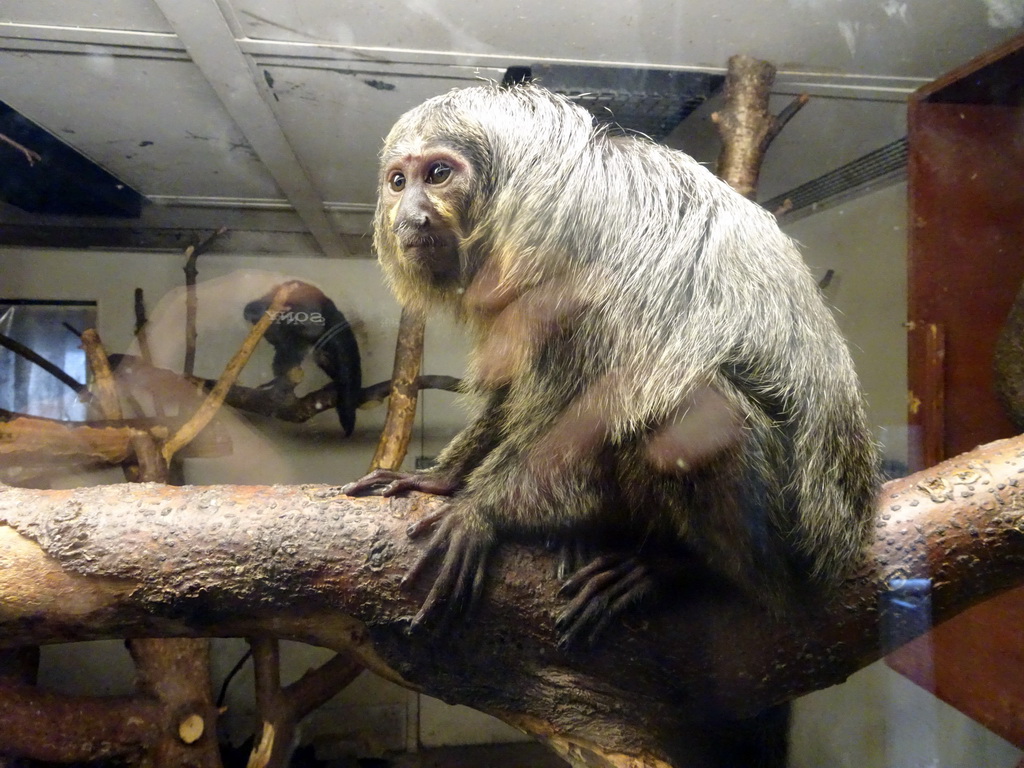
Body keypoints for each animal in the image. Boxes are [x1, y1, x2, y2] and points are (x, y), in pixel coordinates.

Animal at [346, 82, 880, 651]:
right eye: (398, 182)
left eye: (438, 174)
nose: (409, 216)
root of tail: (844, 535)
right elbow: (520, 392)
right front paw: (442, 477)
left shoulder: (572, 254)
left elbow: (602, 405)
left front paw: (480, 511)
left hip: (791, 540)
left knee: (691, 406)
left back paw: (676, 567)